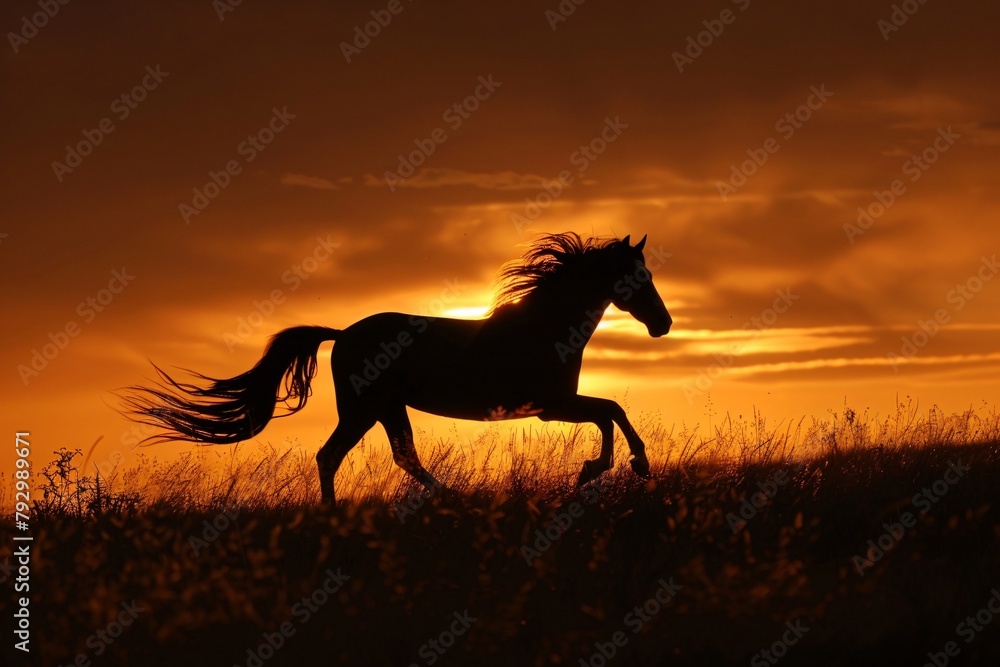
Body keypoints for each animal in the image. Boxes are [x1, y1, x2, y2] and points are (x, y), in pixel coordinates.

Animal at [121, 232, 672, 502]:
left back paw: (448, 497)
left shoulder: (553, 405)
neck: (547, 325)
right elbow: (611, 410)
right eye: (637, 277)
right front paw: (618, 467)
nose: (663, 324)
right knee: (332, 456)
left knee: (401, 457)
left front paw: (603, 469)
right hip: (364, 409)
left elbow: (610, 411)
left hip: (386, 409)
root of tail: (342, 334)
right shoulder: (549, 405)